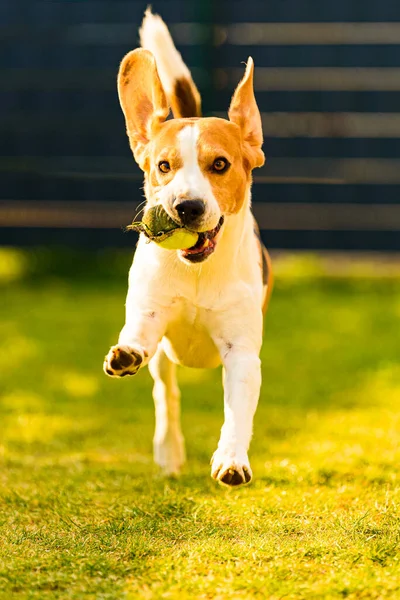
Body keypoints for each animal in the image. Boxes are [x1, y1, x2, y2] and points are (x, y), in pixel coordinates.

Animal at [103, 9, 272, 488]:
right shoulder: (149, 312)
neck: (197, 271)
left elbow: (237, 411)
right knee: (167, 393)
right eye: (163, 166)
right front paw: (126, 352)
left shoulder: (241, 352)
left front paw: (231, 459)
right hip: (164, 358)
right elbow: (138, 337)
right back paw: (169, 451)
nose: (186, 207)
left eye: (220, 164)